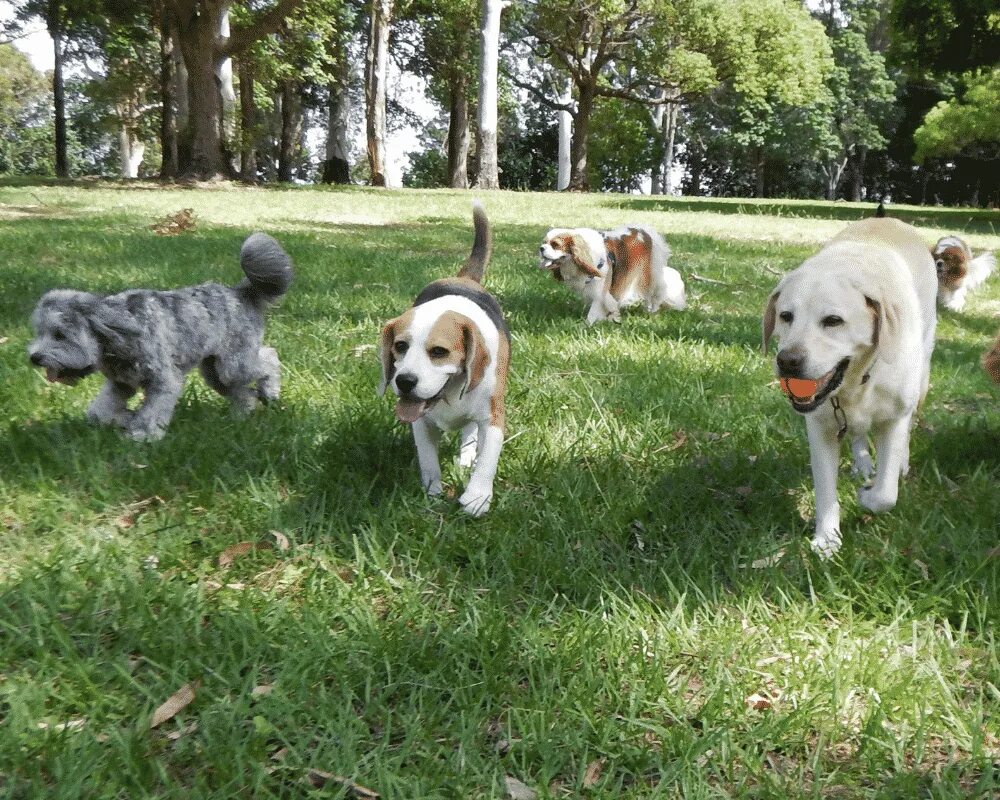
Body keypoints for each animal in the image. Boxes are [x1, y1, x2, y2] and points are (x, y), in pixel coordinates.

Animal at [27, 234, 292, 440]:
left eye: (60, 334)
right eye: (39, 332)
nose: (34, 357)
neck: (119, 334)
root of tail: (241, 292)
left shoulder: (164, 382)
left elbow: (151, 413)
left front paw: (141, 434)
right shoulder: (120, 384)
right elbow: (100, 412)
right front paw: (125, 418)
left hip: (234, 365)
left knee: (269, 358)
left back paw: (270, 392)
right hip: (215, 372)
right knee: (243, 393)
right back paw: (242, 415)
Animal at [380, 203, 512, 516]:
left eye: (439, 352)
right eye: (400, 346)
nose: (404, 382)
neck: (448, 393)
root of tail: (463, 279)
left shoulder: (493, 417)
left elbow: (487, 459)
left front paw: (477, 496)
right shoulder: (420, 422)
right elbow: (429, 461)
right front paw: (432, 493)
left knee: (470, 433)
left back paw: (466, 459)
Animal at [540, 223, 688, 324]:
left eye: (555, 245)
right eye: (544, 242)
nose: (541, 248)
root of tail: (644, 229)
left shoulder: (600, 290)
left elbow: (594, 310)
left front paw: (587, 324)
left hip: (650, 274)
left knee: (655, 292)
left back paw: (652, 310)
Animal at [764, 217, 936, 556]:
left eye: (833, 320)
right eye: (786, 316)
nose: (787, 361)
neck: (856, 381)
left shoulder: (894, 418)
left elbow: (886, 494)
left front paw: (867, 496)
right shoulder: (820, 428)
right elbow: (825, 489)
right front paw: (827, 539)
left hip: (922, 372)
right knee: (857, 433)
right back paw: (862, 462)